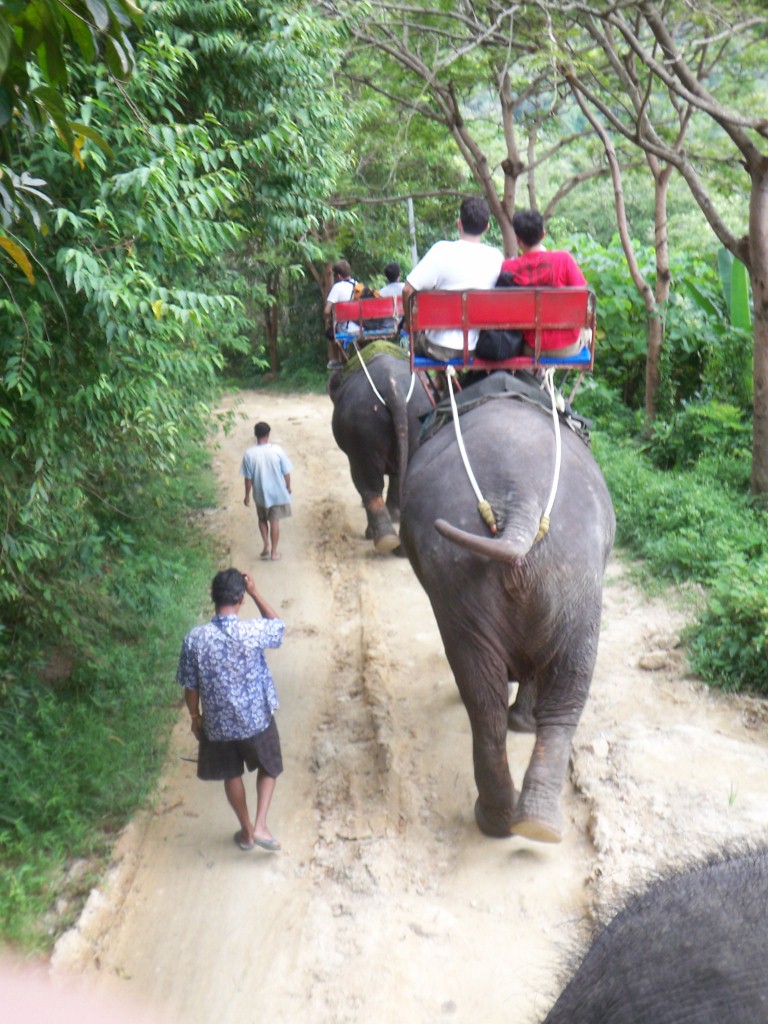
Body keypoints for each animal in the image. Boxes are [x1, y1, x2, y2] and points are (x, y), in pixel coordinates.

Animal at [329, 342, 432, 553]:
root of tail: (392, 388)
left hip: (361, 427)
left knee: (367, 483)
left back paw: (382, 538)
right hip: (415, 418)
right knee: (406, 469)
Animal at [399, 378, 615, 841]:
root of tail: (522, 505)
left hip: (509, 576)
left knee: (488, 699)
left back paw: (514, 818)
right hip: (572, 573)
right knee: (541, 695)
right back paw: (524, 820)